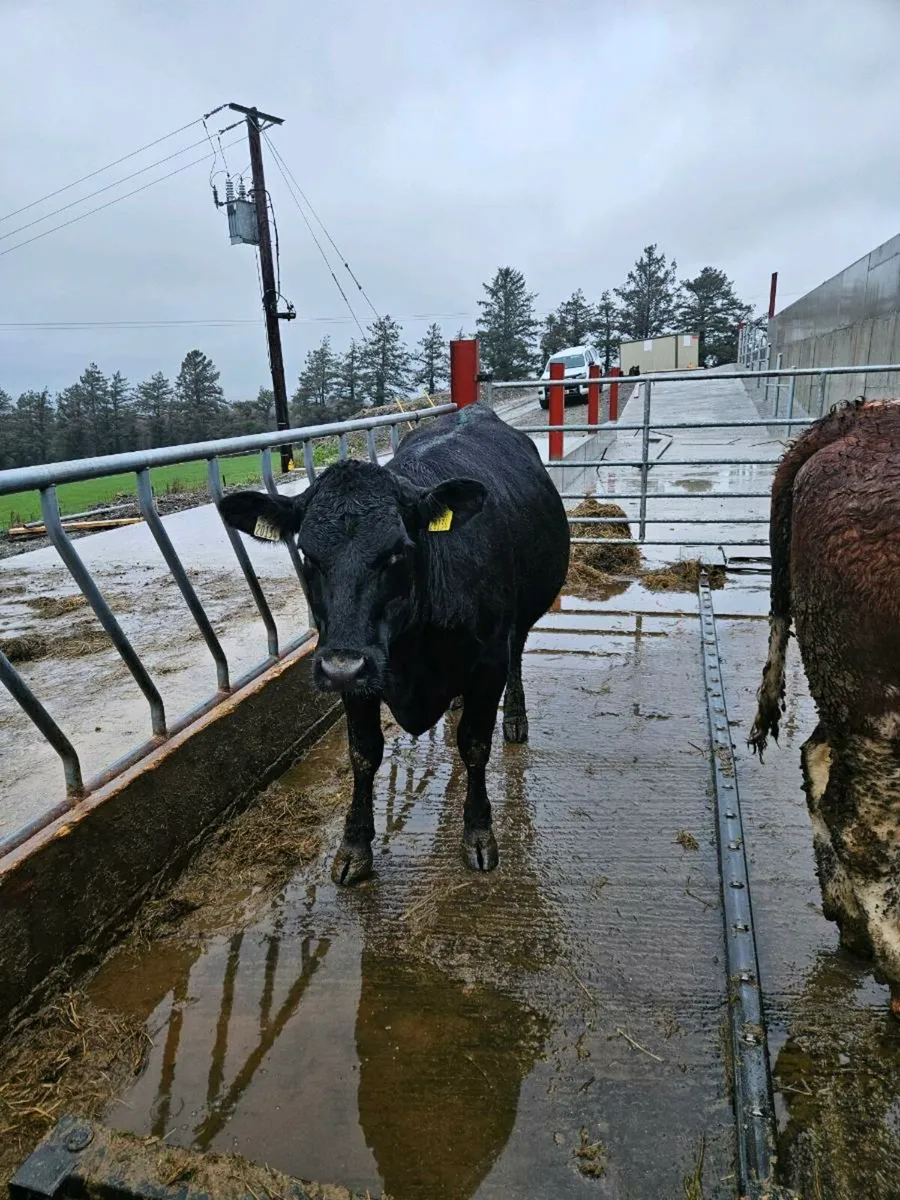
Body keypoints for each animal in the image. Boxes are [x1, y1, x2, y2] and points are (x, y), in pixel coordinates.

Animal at [219, 403, 570, 886]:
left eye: (398, 552)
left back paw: (515, 719)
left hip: (521, 620)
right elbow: (364, 753)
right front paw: (354, 845)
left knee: (518, 657)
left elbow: (475, 745)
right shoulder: (353, 670)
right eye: (308, 555)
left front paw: (479, 833)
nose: (341, 667)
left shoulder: (488, 662)